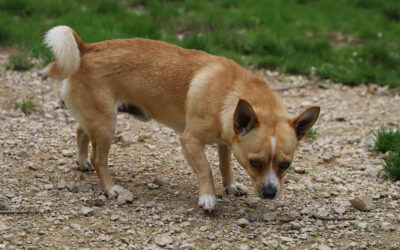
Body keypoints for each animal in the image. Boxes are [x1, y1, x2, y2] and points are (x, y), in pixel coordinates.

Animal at [42, 25, 320, 211]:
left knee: (80, 132)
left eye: (285, 165)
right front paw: (208, 197)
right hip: (107, 125)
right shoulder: (190, 141)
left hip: (98, 118)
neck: (231, 91)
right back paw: (111, 189)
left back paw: (81, 162)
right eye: (255, 163)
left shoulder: (225, 142)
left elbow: (225, 166)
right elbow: (206, 169)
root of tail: (86, 49)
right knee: (99, 158)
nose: (271, 193)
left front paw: (230, 186)